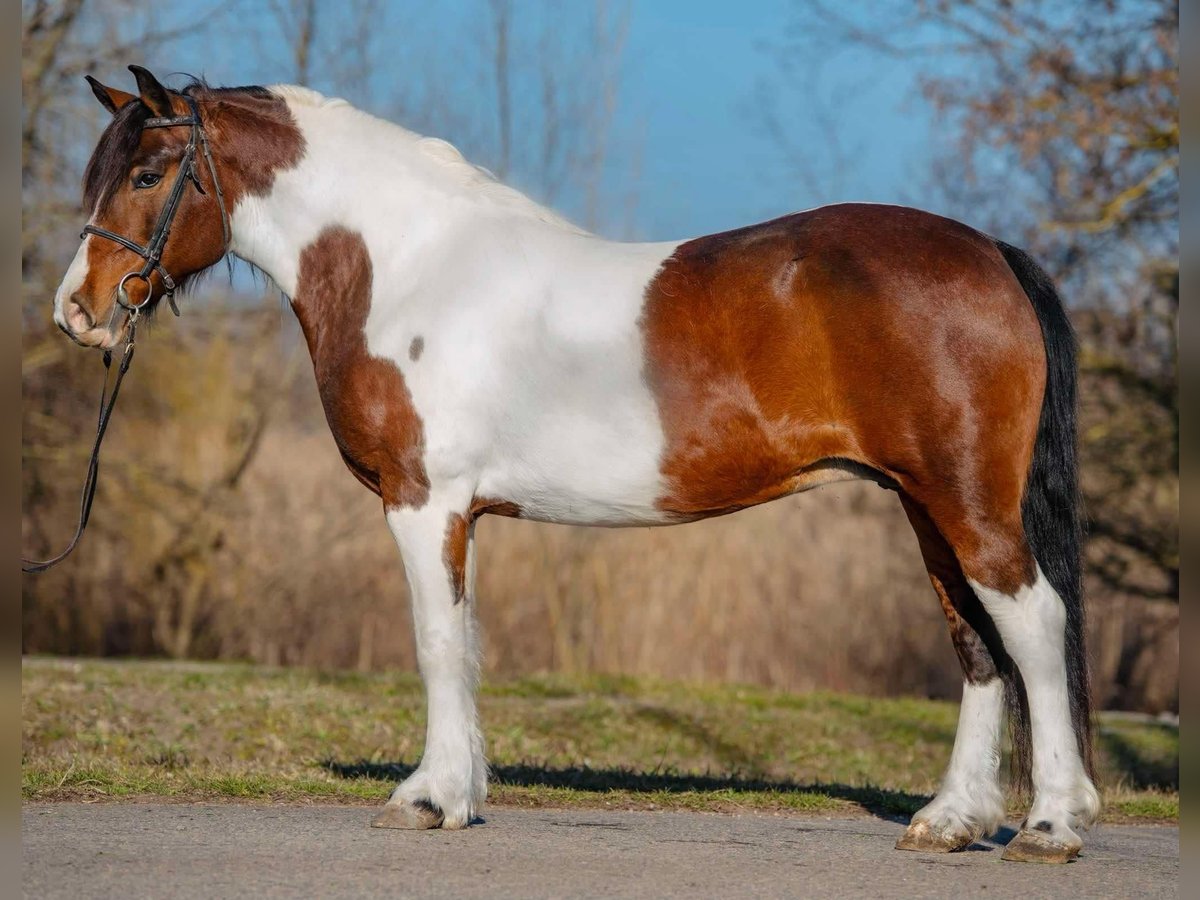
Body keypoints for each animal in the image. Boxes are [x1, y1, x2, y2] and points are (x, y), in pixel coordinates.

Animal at [54, 66, 1099, 864]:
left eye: (148, 172)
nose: (79, 313)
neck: (411, 266)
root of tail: (989, 252)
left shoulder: (423, 501)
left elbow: (437, 644)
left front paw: (426, 799)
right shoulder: (461, 512)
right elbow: (466, 643)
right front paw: (461, 791)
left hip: (967, 502)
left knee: (1032, 623)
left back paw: (1051, 825)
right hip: (927, 505)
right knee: (976, 643)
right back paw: (952, 821)